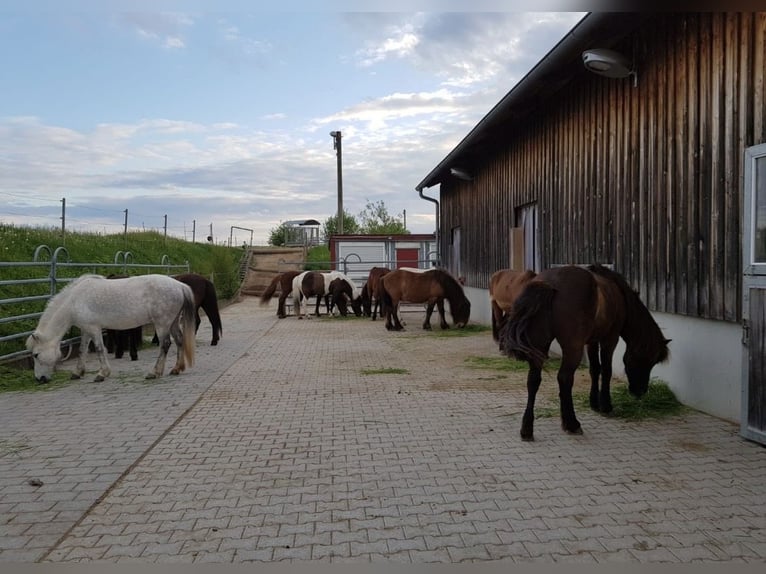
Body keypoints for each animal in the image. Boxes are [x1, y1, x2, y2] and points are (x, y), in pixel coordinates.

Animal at [26, 274, 196, 383]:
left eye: (36, 355)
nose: (40, 379)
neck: (75, 300)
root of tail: (180, 285)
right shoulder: (85, 330)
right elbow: (82, 350)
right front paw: (77, 372)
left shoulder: (94, 329)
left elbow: (100, 349)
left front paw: (102, 374)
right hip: (173, 323)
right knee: (179, 341)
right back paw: (176, 369)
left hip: (162, 324)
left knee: (165, 344)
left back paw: (154, 373)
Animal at [498, 264, 671, 441]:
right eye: (650, 361)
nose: (640, 391)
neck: (619, 295)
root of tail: (549, 284)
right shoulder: (610, 338)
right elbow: (606, 370)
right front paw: (605, 405)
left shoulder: (591, 341)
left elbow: (594, 369)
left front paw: (594, 403)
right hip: (572, 347)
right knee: (564, 378)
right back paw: (572, 424)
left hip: (540, 346)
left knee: (533, 380)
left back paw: (527, 429)